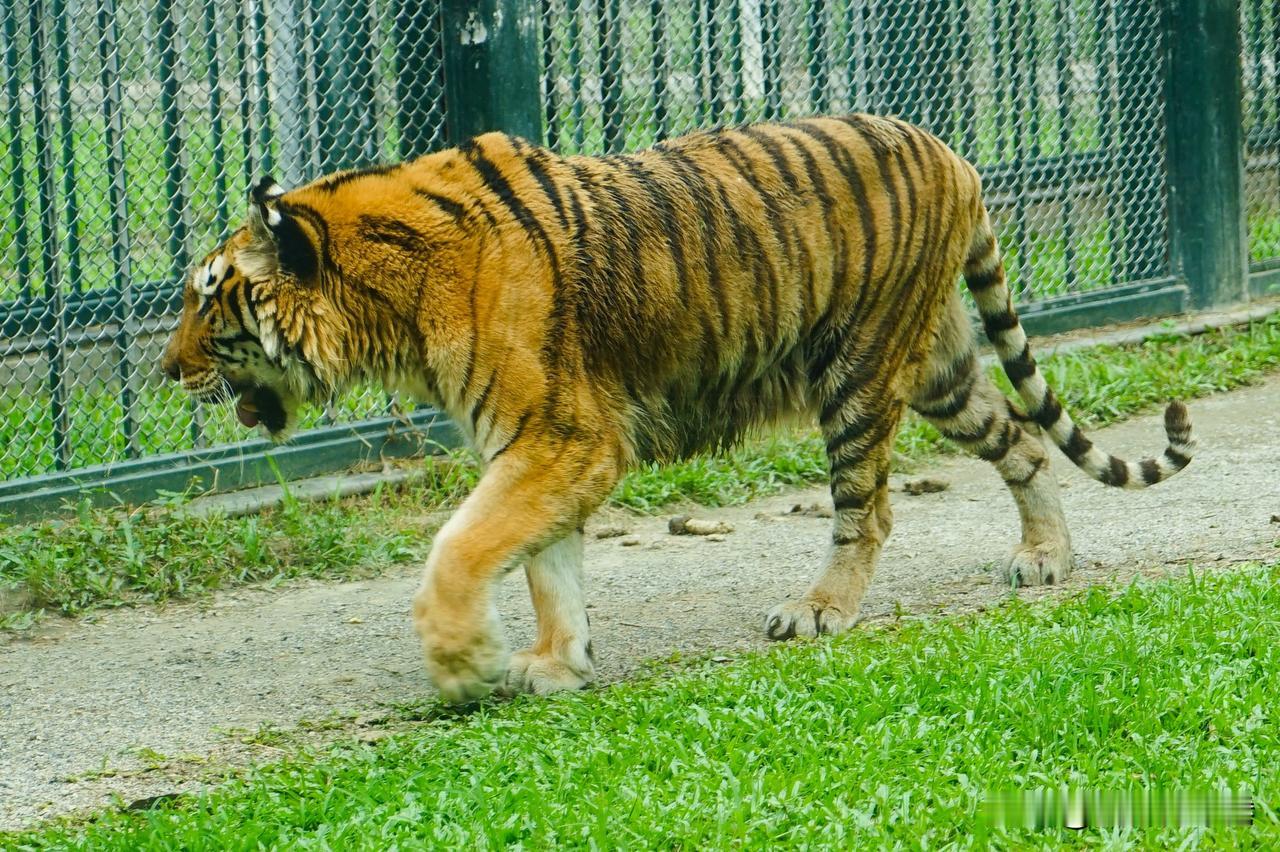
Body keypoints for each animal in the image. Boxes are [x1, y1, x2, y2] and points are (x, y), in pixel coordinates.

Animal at [160, 114, 1195, 703]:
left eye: (208, 299)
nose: (166, 371)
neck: (389, 305)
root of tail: (956, 154)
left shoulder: (562, 436)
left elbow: (461, 550)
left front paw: (466, 667)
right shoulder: (537, 444)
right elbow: (546, 566)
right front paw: (557, 663)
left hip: (858, 371)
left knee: (867, 511)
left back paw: (818, 611)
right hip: (937, 367)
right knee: (1019, 437)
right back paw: (1046, 557)